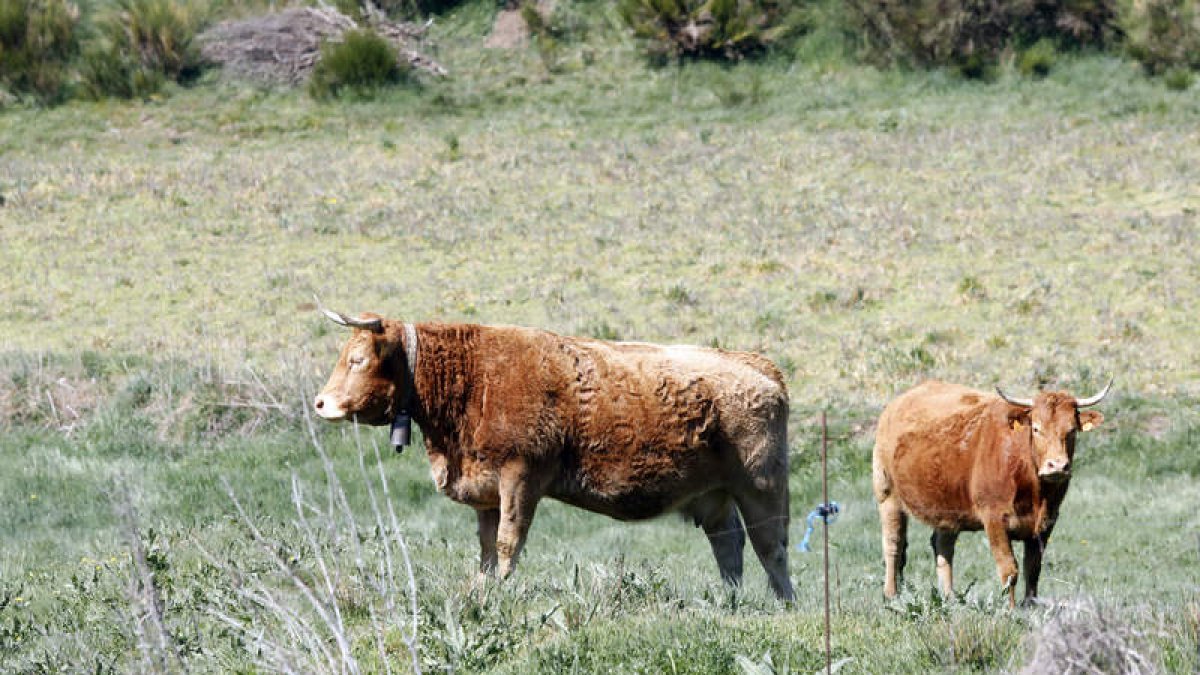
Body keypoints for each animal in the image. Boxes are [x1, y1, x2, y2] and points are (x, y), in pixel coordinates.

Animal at [313, 311, 795, 601]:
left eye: (357, 359)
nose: (319, 403)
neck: (472, 379)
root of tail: (757, 366)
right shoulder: (487, 488)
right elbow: (486, 546)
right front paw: (482, 589)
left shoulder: (520, 476)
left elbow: (508, 541)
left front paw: (503, 591)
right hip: (713, 496)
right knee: (729, 544)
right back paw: (729, 600)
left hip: (762, 487)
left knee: (771, 547)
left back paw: (783, 603)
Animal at [872, 379, 1110, 606]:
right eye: (1036, 428)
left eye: (1071, 430)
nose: (1057, 466)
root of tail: (894, 406)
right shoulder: (994, 519)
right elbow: (1009, 569)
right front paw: (1010, 609)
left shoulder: (1046, 522)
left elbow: (1033, 568)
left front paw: (1029, 605)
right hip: (888, 496)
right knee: (893, 545)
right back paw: (891, 595)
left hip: (947, 506)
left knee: (943, 546)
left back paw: (949, 598)